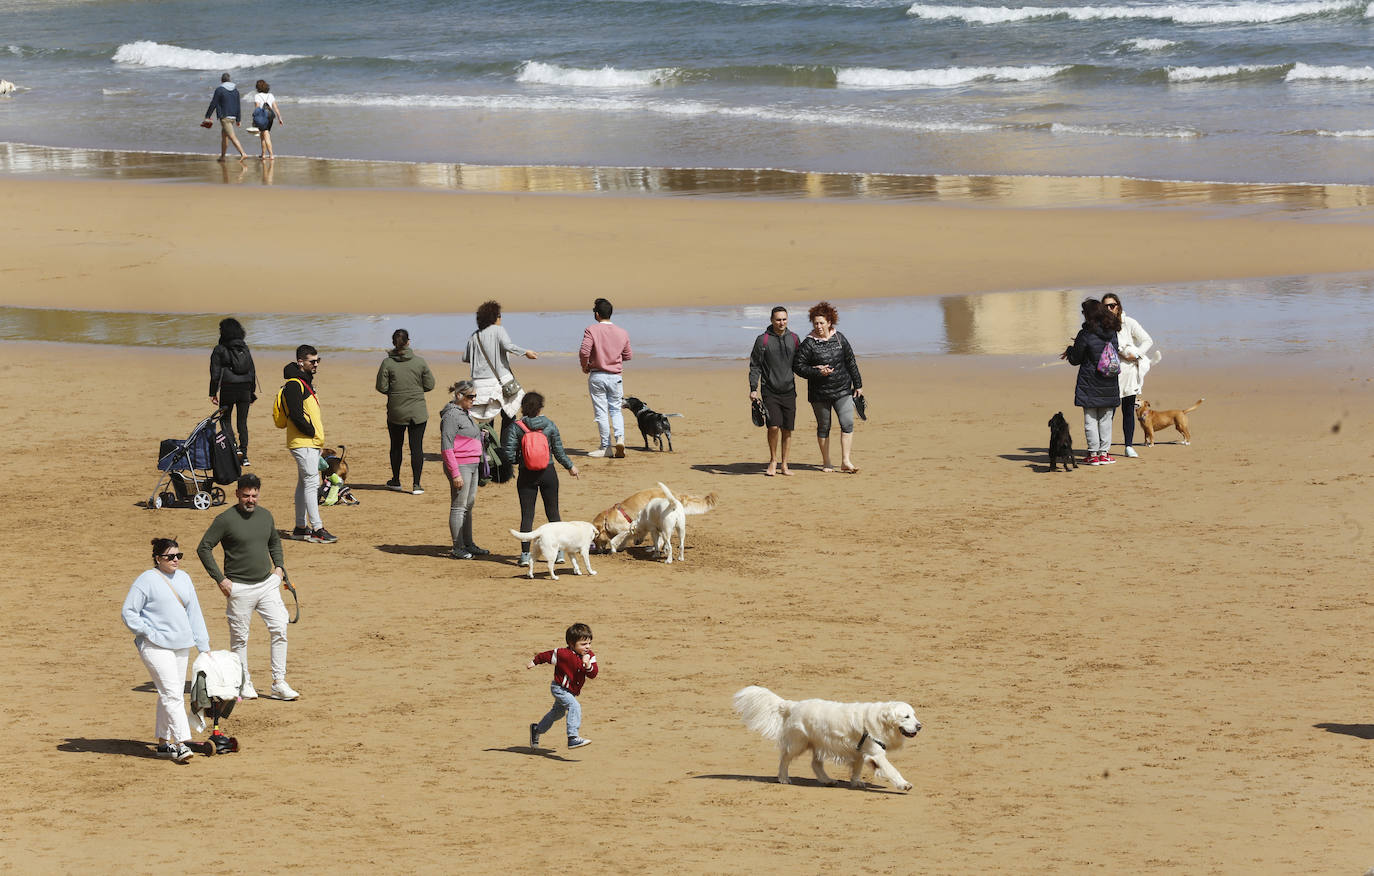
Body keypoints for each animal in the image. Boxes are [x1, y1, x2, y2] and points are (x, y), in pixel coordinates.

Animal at [590, 483, 719, 551]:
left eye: (595, 539)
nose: (597, 551)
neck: (607, 520)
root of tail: (675, 495)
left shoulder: (626, 528)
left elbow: (614, 540)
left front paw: (613, 549)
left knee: (661, 540)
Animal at [736, 686, 917, 796]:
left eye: (914, 715)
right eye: (906, 716)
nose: (920, 726)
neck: (880, 721)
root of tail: (792, 705)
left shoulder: (860, 750)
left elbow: (857, 768)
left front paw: (856, 782)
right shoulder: (876, 752)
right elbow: (892, 770)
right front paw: (904, 784)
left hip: (819, 743)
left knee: (815, 764)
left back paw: (827, 780)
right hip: (798, 743)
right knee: (785, 759)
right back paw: (783, 778)